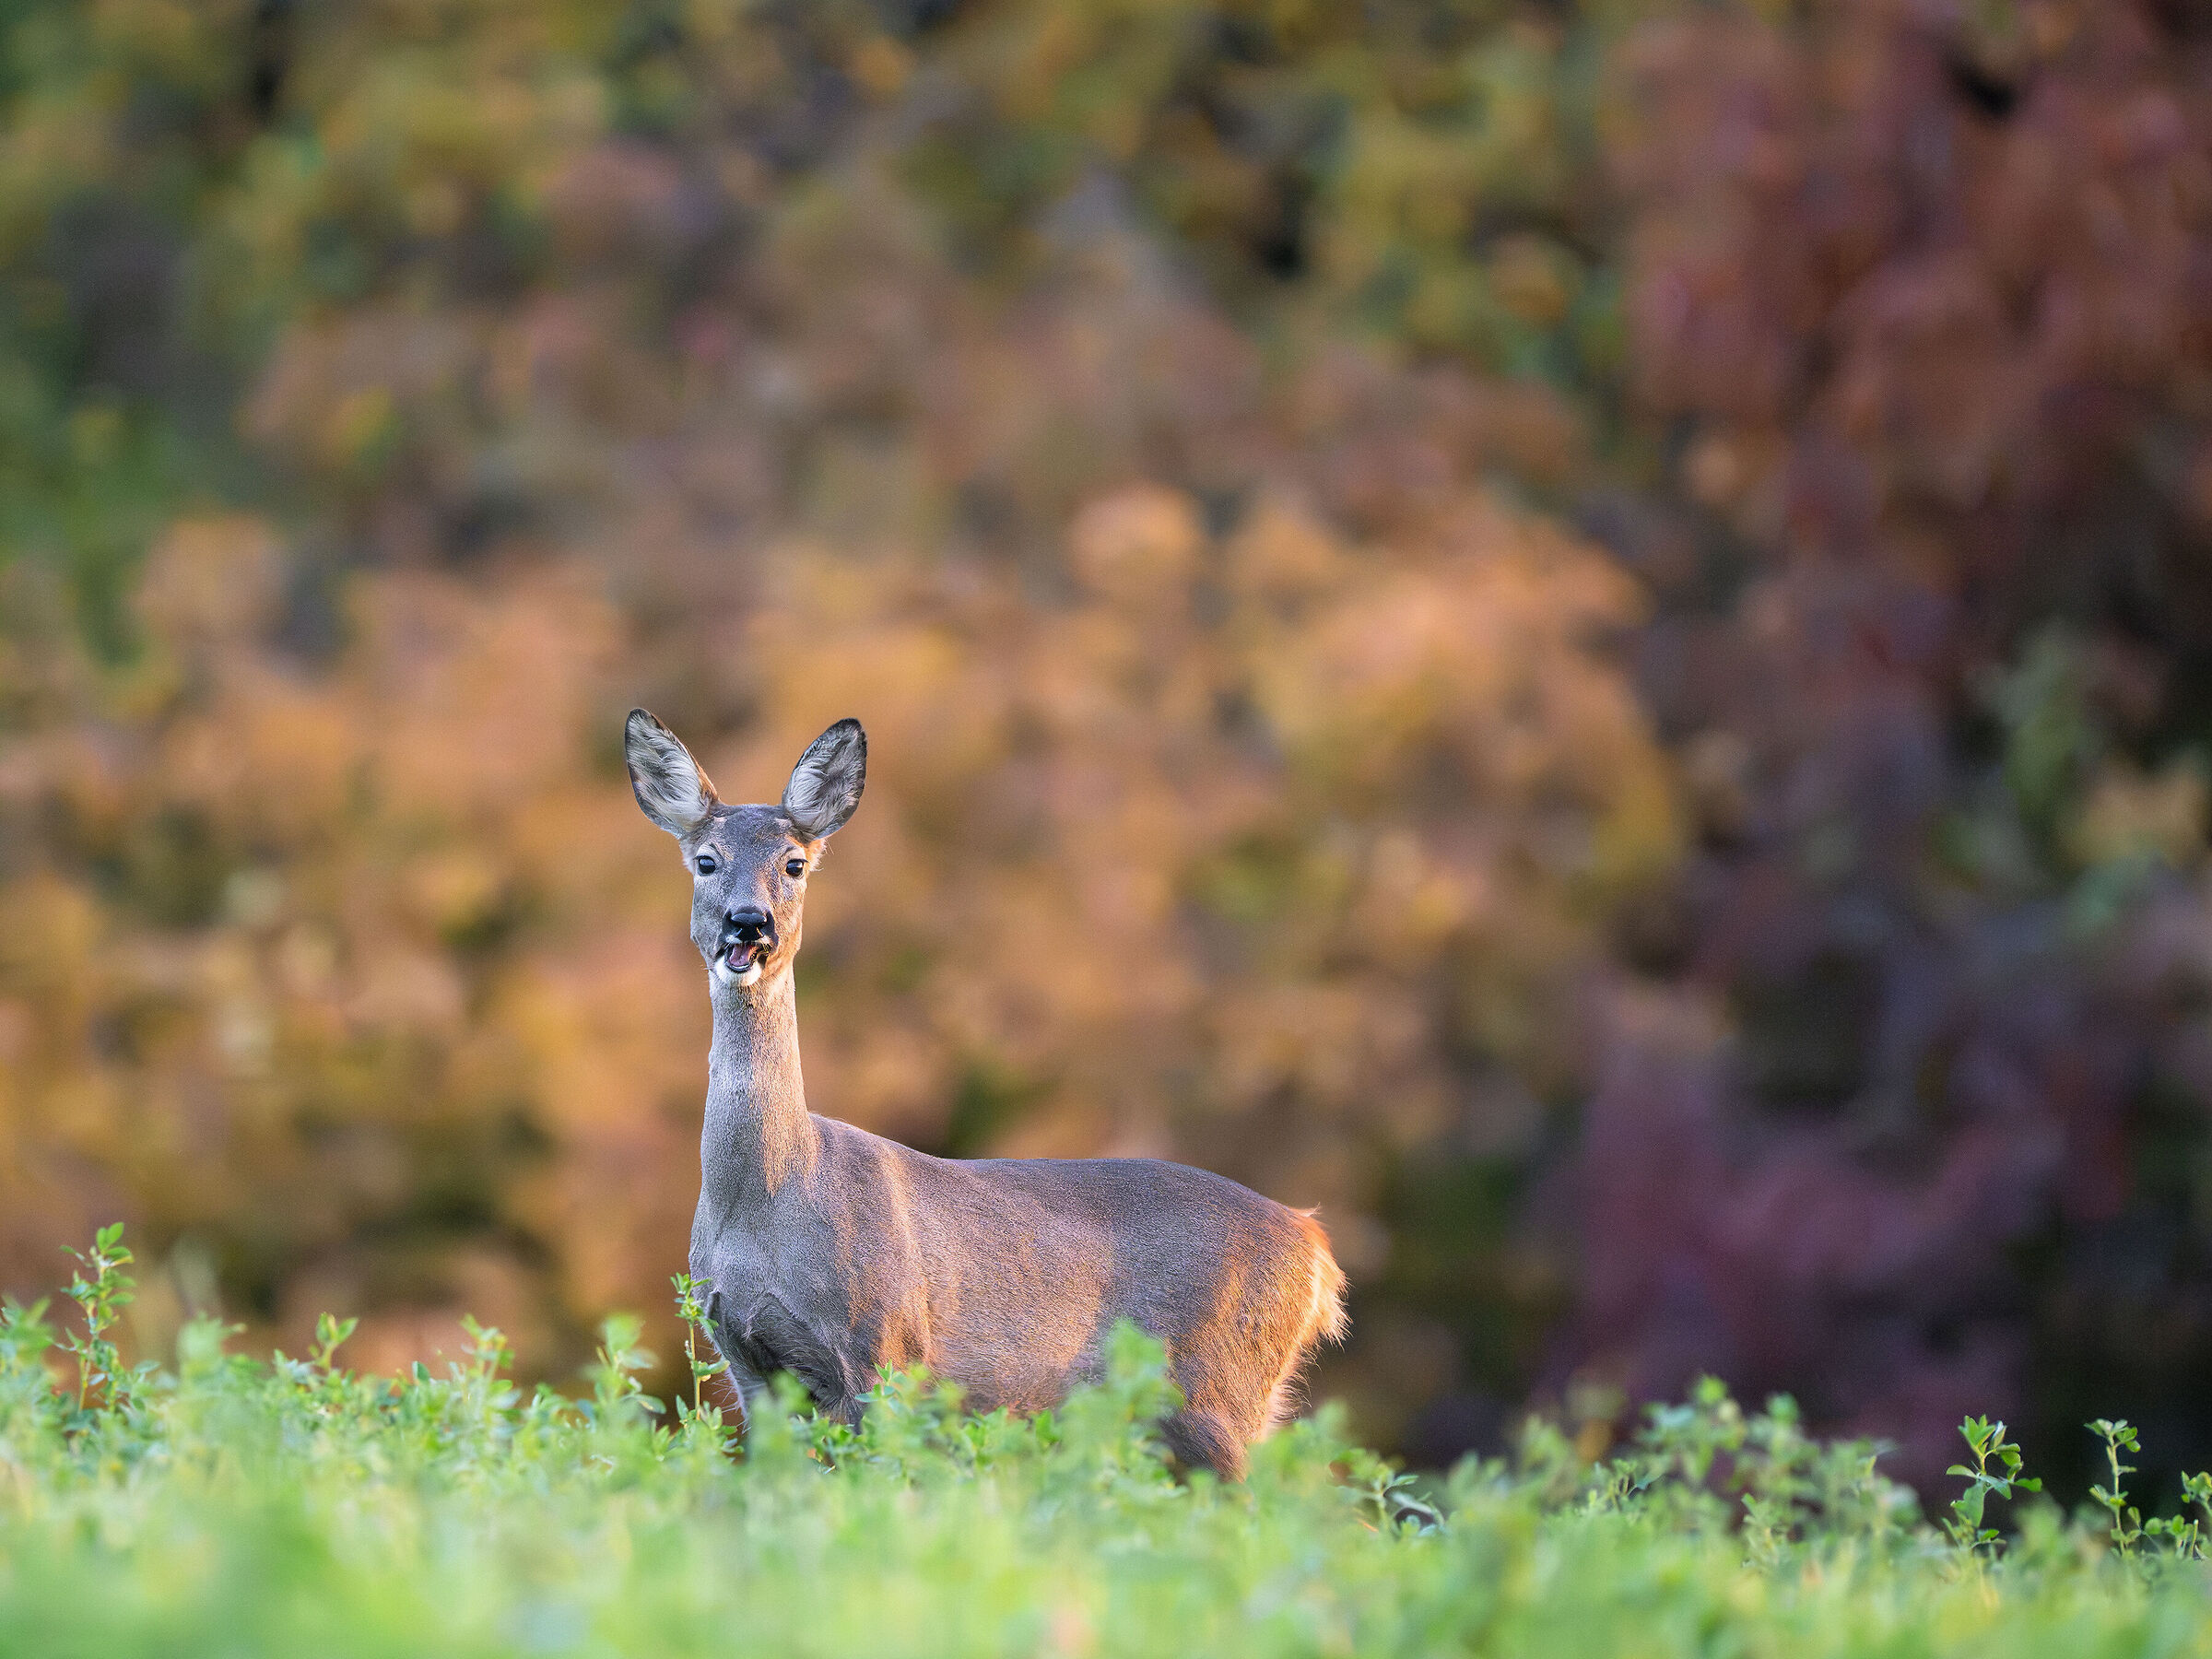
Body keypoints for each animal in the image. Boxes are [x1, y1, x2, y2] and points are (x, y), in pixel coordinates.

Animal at [624, 709, 1347, 1477]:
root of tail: (1314, 1250)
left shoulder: (885, 1347)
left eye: (794, 863)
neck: (769, 1195)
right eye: (706, 860)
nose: (749, 922)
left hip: (1218, 1388)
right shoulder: (746, 1362)